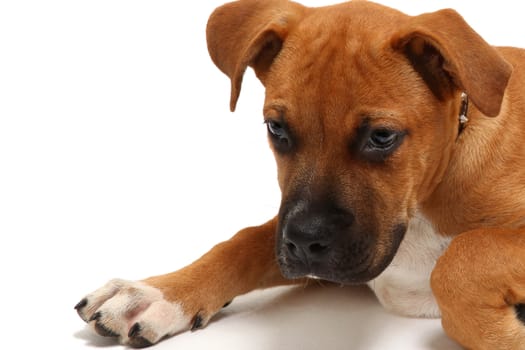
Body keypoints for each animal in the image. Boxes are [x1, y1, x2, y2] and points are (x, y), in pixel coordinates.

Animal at [73, 1, 524, 348]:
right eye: (276, 129)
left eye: (381, 137)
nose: (306, 243)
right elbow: (243, 242)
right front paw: (156, 293)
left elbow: (462, 255)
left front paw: (503, 335)